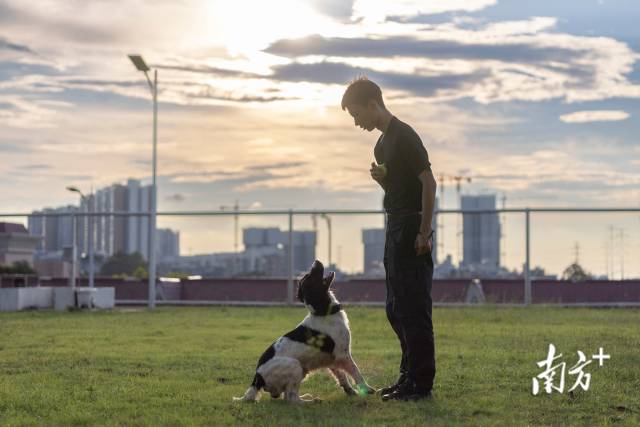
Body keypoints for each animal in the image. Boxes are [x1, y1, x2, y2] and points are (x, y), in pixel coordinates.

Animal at [234, 260, 376, 402]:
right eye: (310, 277)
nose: (316, 261)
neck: (323, 313)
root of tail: (257, 379)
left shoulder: (332, 359)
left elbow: (342, 377)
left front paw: (351, 392)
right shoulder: (343, 354)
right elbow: (356, 372)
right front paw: (367, 389)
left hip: (301, 370)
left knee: (288, 396)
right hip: (295, 365)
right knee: (291, 398)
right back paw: (312, 401)